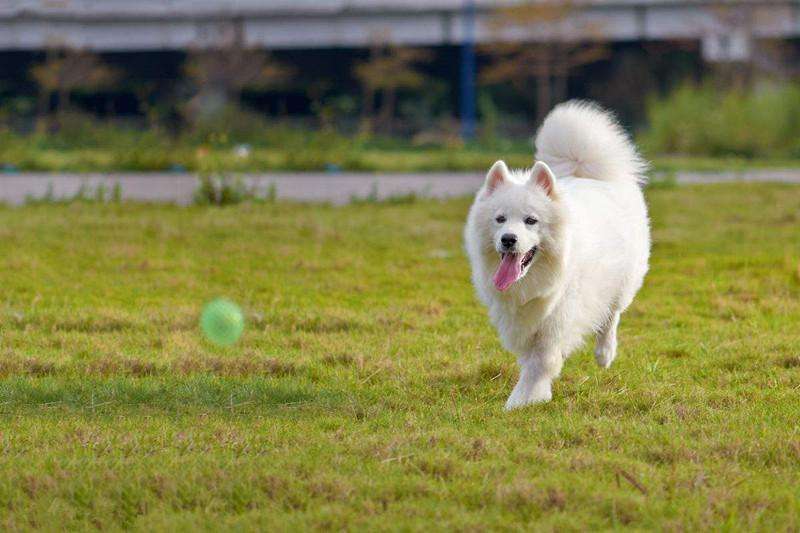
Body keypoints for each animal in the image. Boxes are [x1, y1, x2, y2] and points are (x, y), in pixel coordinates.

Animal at [462, 101, 648, 408]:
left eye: (530, 221)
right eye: (500, 219)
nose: (508, 239)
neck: (533, 279)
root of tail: (585, 172)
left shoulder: (558, 317)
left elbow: (542, 361)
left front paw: (523, 400)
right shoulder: (519, 320)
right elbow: (531, 359)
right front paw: (533, 393)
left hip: (621, 282)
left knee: (612, 315)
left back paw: (605, 353)